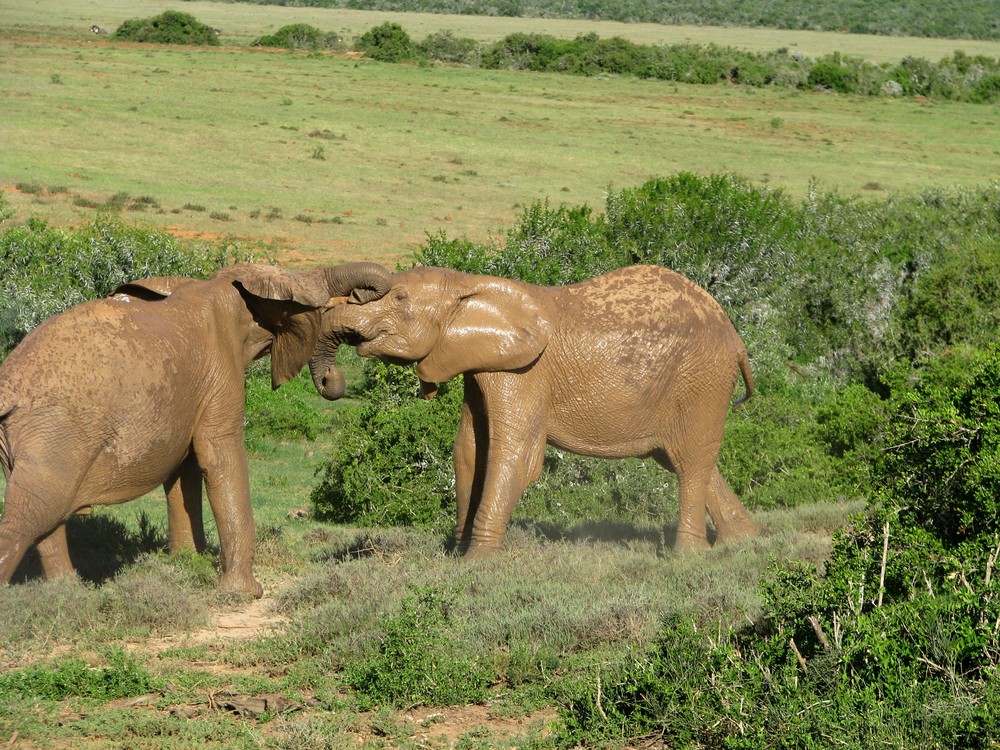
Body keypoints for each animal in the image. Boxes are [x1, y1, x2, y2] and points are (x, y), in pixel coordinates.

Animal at [0, 262, 390, 596]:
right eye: (315, 302)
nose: (331, 378)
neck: (219, 286)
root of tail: (8, 385)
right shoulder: (221, 373)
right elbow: (220, 455)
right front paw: (244, 593)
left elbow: (184, 471)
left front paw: (186, 563)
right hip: (55, 433)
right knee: (32, 514)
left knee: (44, 518)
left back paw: (68, 594)